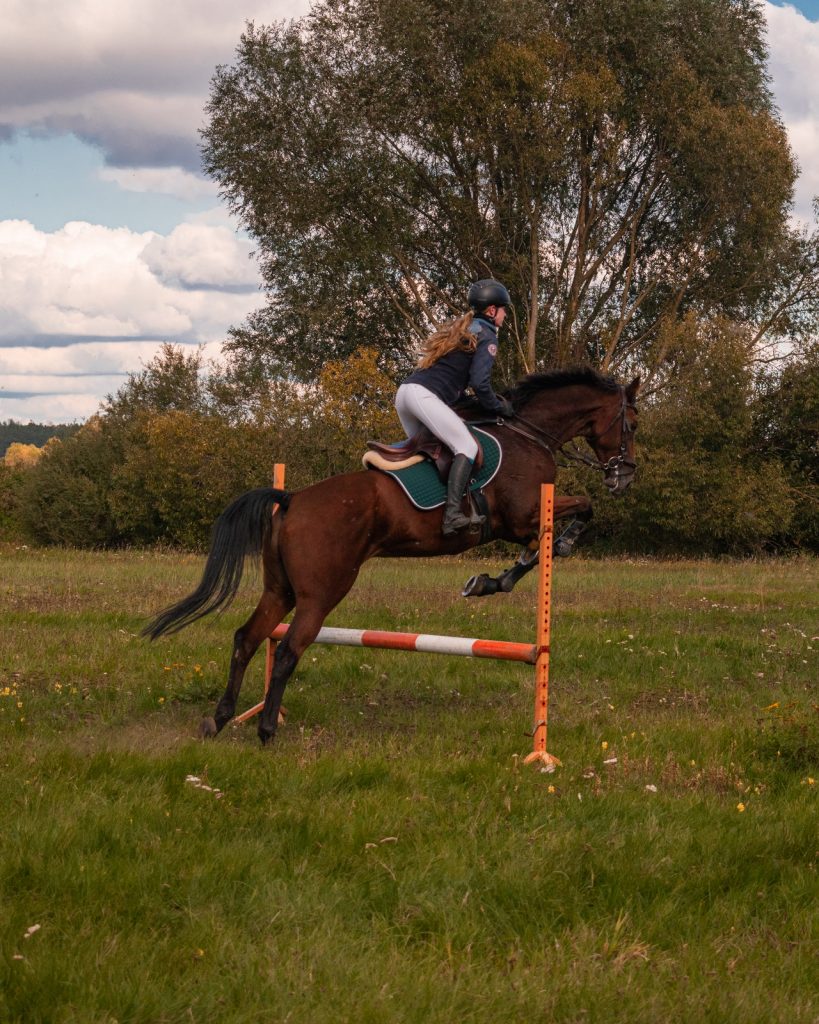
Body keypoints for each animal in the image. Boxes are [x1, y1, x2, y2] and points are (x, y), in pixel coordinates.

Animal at [144, 368, 634, 745]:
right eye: (631, 423)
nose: (625, 477)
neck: (528, 435)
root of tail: (293, 498)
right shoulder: (523, 517)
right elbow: (574, 516)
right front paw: (523, 565)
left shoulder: (524, 523)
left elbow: (542, 545)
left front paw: (491, 581)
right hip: (322, 593)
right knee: (285, 650)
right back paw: (265, 730)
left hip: (279, 590)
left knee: (247, 639)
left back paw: (220, 719)